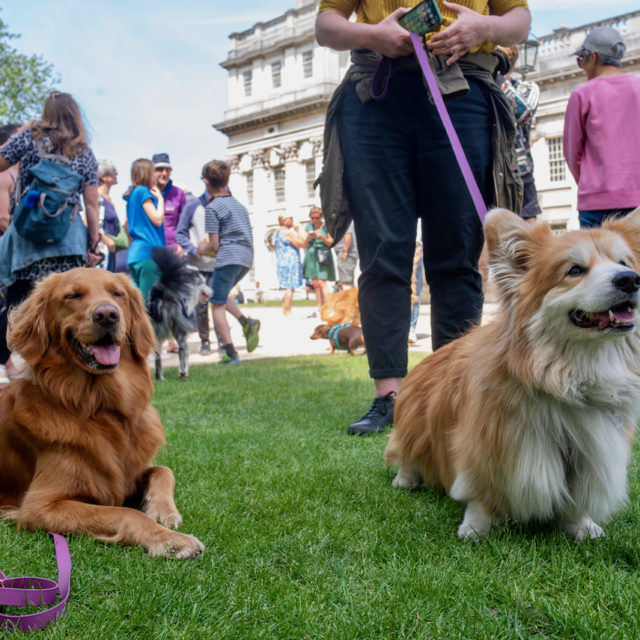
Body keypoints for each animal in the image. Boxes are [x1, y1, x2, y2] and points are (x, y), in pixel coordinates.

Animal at [147, 248, 212, 380]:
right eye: (203, 282)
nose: (211, 292)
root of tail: (164, 289)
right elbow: (186, 352)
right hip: (180, 328)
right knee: (183, 350)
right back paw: (183, 373)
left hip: (155, 331)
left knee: (157, 354)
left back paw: (159, 377)